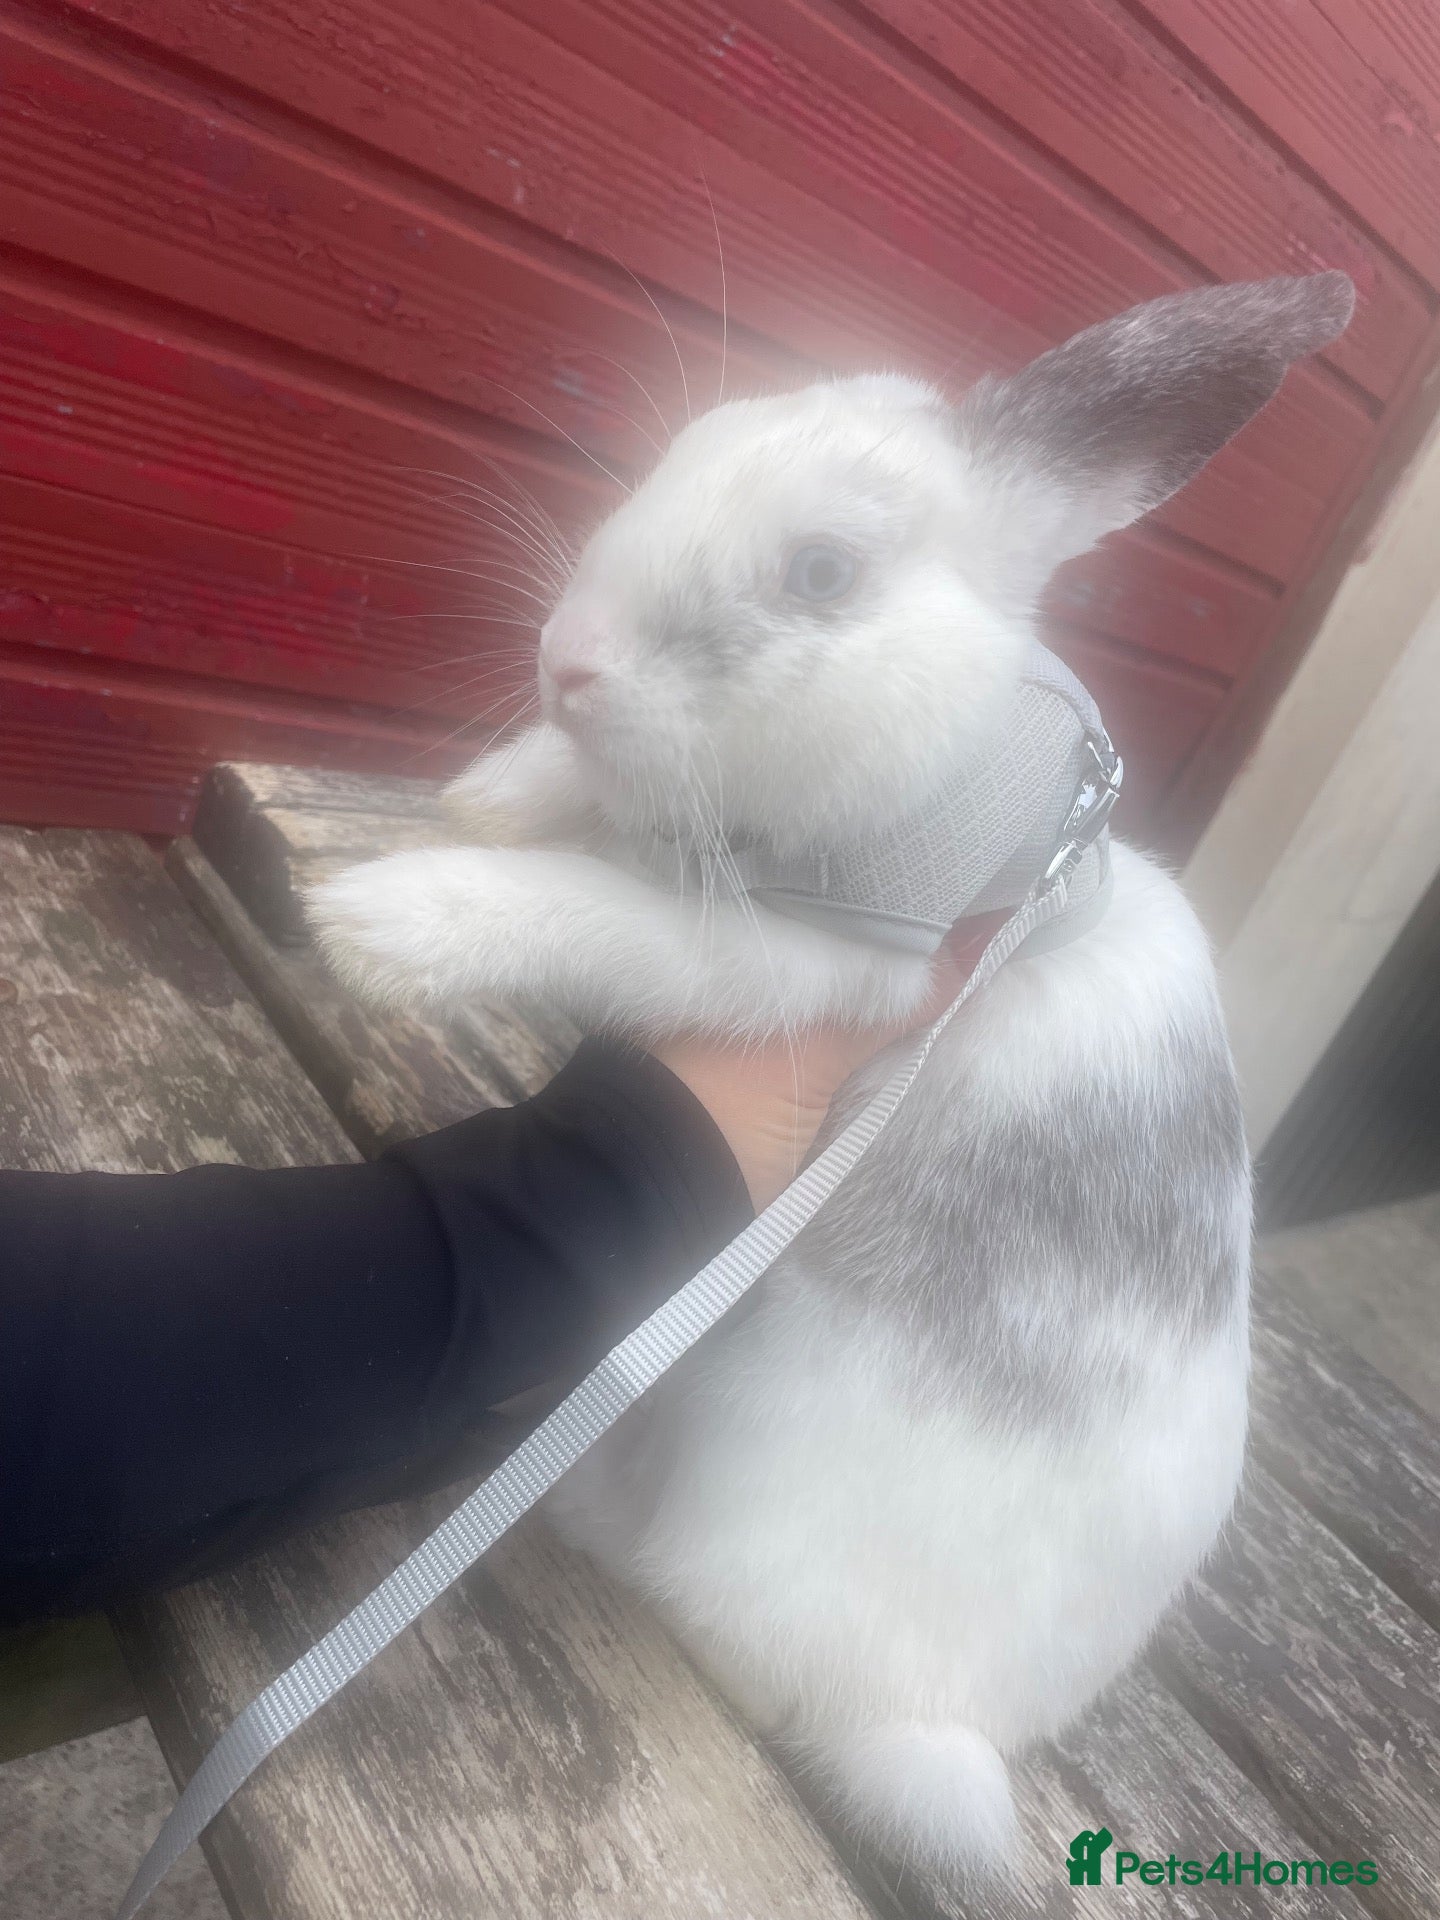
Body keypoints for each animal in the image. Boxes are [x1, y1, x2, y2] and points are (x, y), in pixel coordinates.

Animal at [311, 274, 1355, 1877]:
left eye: (820, 572)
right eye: (685, 449)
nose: (567, 656)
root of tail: (940, 1727)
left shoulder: (811, 974)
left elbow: (598, 919)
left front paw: (381, 919)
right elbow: (575, 802)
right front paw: (494, 786)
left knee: (690, 1604)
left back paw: (575, 1490)